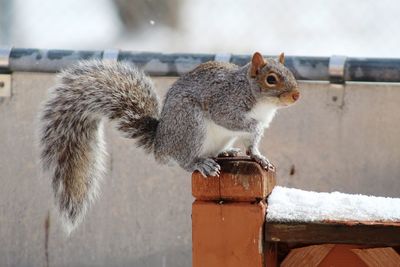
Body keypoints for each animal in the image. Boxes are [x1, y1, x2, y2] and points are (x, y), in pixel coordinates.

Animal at [38, 51, 300, 232]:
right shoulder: (224, 103)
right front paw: (254, 128)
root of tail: (160, 144)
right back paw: (200, 163)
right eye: (271, 79)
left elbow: (253, 146)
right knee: (184, 160)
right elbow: (232, 120)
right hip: (191, 125)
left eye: (291, 73)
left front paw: (259, 157)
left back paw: (226, 152)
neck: (261, 103)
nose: (297, 95)